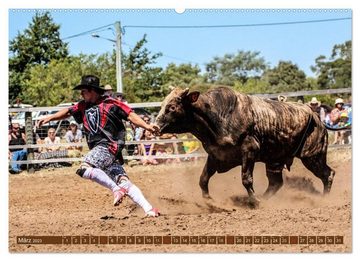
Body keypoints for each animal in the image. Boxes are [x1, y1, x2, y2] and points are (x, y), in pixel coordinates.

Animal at [156, 86, 336, 204]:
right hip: (275, 160)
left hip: (313, 156)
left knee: (328, 174)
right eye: (163, 105)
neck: (218, 117)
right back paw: (264, 199)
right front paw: (208, 200)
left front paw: (254, 200)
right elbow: (203, 178)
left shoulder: (249, 150)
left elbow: (246, 179)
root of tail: (316, 117)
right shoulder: (216, 155)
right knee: (276, 182)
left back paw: (325, 199)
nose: (156, 126)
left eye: (172, 107)